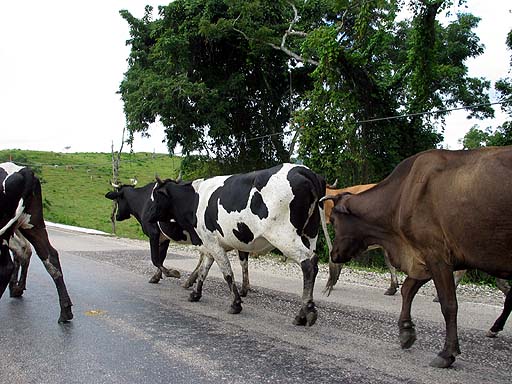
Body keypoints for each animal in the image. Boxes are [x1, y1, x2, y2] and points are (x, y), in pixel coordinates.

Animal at [106, 182, 254, 296]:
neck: (143, 201)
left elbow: (155, 258)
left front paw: (172, 273)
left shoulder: (153, 233)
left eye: (118, 200)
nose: (117, 216)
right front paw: (156, 276)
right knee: (241, 259)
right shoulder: (164, 237)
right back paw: (244, 288)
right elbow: (161, 257)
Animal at [146, 164, 326, 326]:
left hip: (284, 235)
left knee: (308, 263)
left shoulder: (212, 242)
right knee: (313, 264)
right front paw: (195, 294)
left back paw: (305, 313)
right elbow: (205, 269)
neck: (195, 199)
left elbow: (227, 273)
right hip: (310, 234)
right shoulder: (210, 243)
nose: (147, 215)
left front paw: (235, 304)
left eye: (156, 195)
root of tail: (303, 170)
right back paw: (304, 312)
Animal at [324, 148, 512, 368]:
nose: (334, 254)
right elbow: (407, 289)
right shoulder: (421, 257)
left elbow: (449, 304)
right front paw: (406, 331)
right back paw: (495, 326)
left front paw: (447, 352)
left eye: (335, 220)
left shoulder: (436, 255)